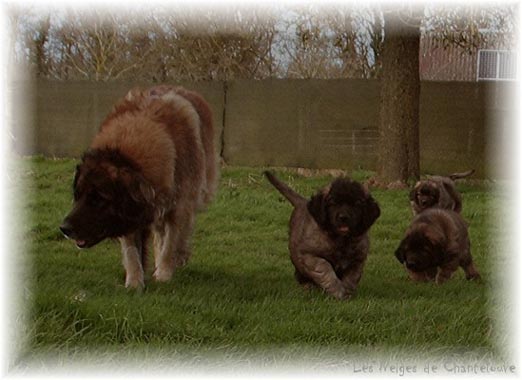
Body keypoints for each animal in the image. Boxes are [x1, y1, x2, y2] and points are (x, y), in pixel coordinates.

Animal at [59, 85, 217, 288]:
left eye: (98, 199)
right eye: (77, 195)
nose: (64, 229)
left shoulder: (178, 206)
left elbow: (171, 242)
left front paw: (164, 274)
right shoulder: (131, 215)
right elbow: (132, 251)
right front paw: (134, 282)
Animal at [264, 172, 378, 300]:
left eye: (356, 204)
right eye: (333, 203)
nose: (343, 217)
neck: (341, 240)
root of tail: (303, 202)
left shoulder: (358, 259)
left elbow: (351, 279)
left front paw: (347, 293)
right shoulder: (309, 255)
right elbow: (325, 268)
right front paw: (337, 292)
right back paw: (307, 287)